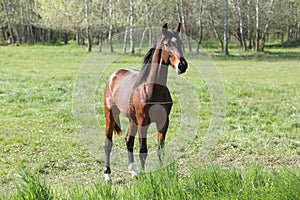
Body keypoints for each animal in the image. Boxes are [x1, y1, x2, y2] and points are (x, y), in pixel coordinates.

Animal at [103, 23, 188, 181]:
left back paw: (133, 171)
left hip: (132, 119)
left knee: (128, 140)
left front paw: (162, 173)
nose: (182, 65)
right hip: (110, 115)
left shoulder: (163, 122)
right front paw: (145, 178)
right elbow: (143, 150)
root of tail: (113, 76)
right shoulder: (144, 123)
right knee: (108, 144)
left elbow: (160, 149)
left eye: (180, 42)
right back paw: (108, 176)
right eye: (167, 44)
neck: (153, 89)